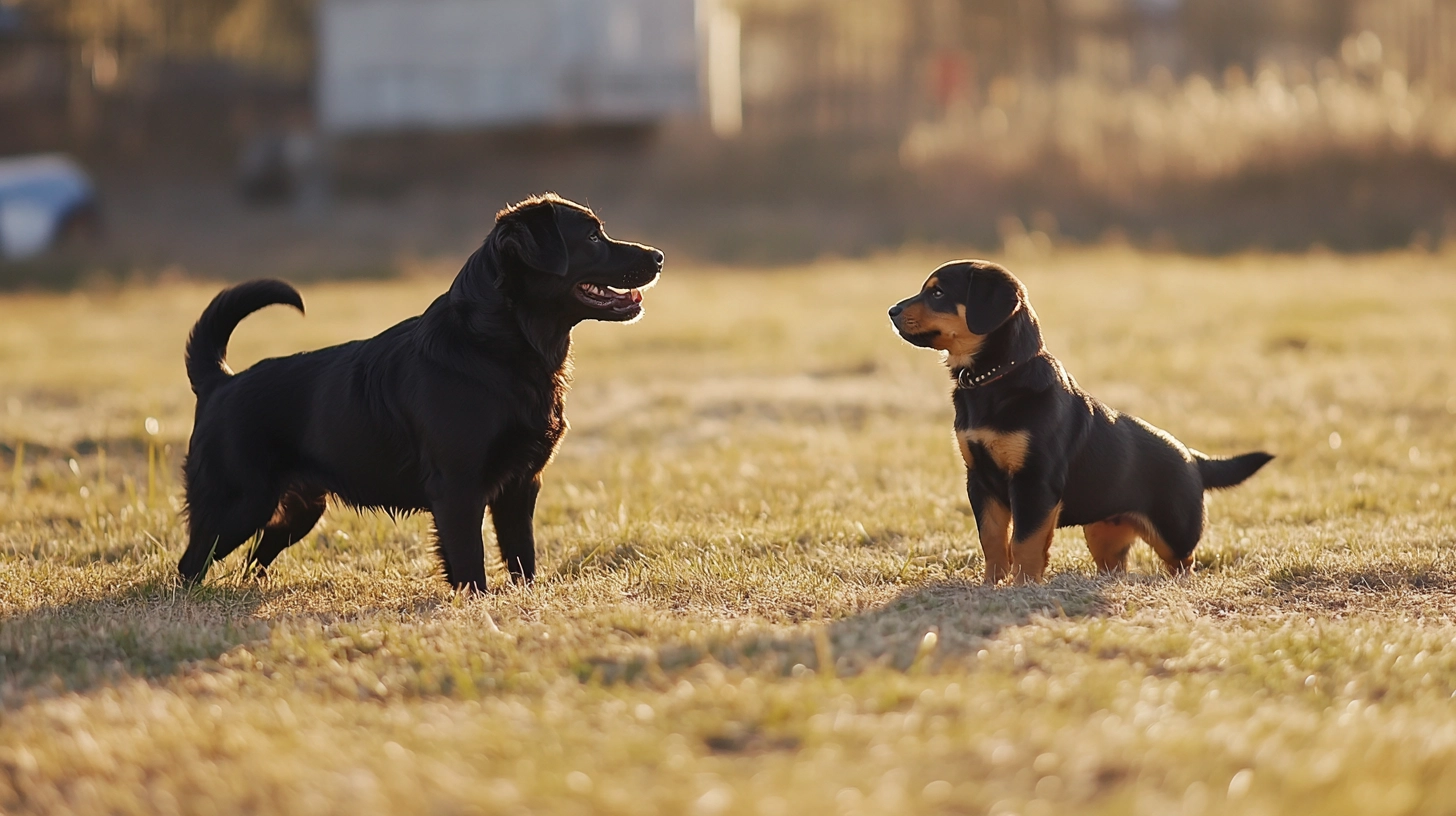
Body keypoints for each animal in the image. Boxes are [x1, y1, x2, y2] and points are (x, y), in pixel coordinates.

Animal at [179, 192, 663, 585]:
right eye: (594, 237)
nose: (658, 256)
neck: (492, 349)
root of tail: (221, 381)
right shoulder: (458, 490)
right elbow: (469, 565)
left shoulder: (521, 485)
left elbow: (522, 558)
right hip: (238, 505)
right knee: (191, 564)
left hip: (298, 509)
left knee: (254, 557)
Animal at [879, 257, 1269, 582]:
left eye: (938, 292)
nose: (891, 311)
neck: (993, 379)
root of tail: (1193, 457)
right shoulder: (979, 479)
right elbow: (992, 539)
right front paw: (992, 584)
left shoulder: (1035, 481)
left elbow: (1024, 541)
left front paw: (1023, 587)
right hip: (1102, 531)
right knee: (1115, 565)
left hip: (1175, 528)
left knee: (1184, 561)